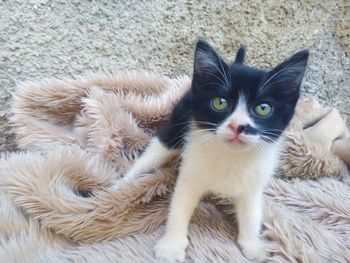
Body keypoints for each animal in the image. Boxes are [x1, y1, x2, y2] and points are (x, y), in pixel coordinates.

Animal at [119, 40, 308, 262]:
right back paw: (122, 184)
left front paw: (253, 245)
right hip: (176, 125)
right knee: (152, 153)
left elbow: (251, 213)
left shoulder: (255, 181)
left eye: (263, 108)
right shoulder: (191, 168)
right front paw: (171, 246)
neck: (231, 156)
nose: (237, 126)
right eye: (220, 102)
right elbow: (179, 205)